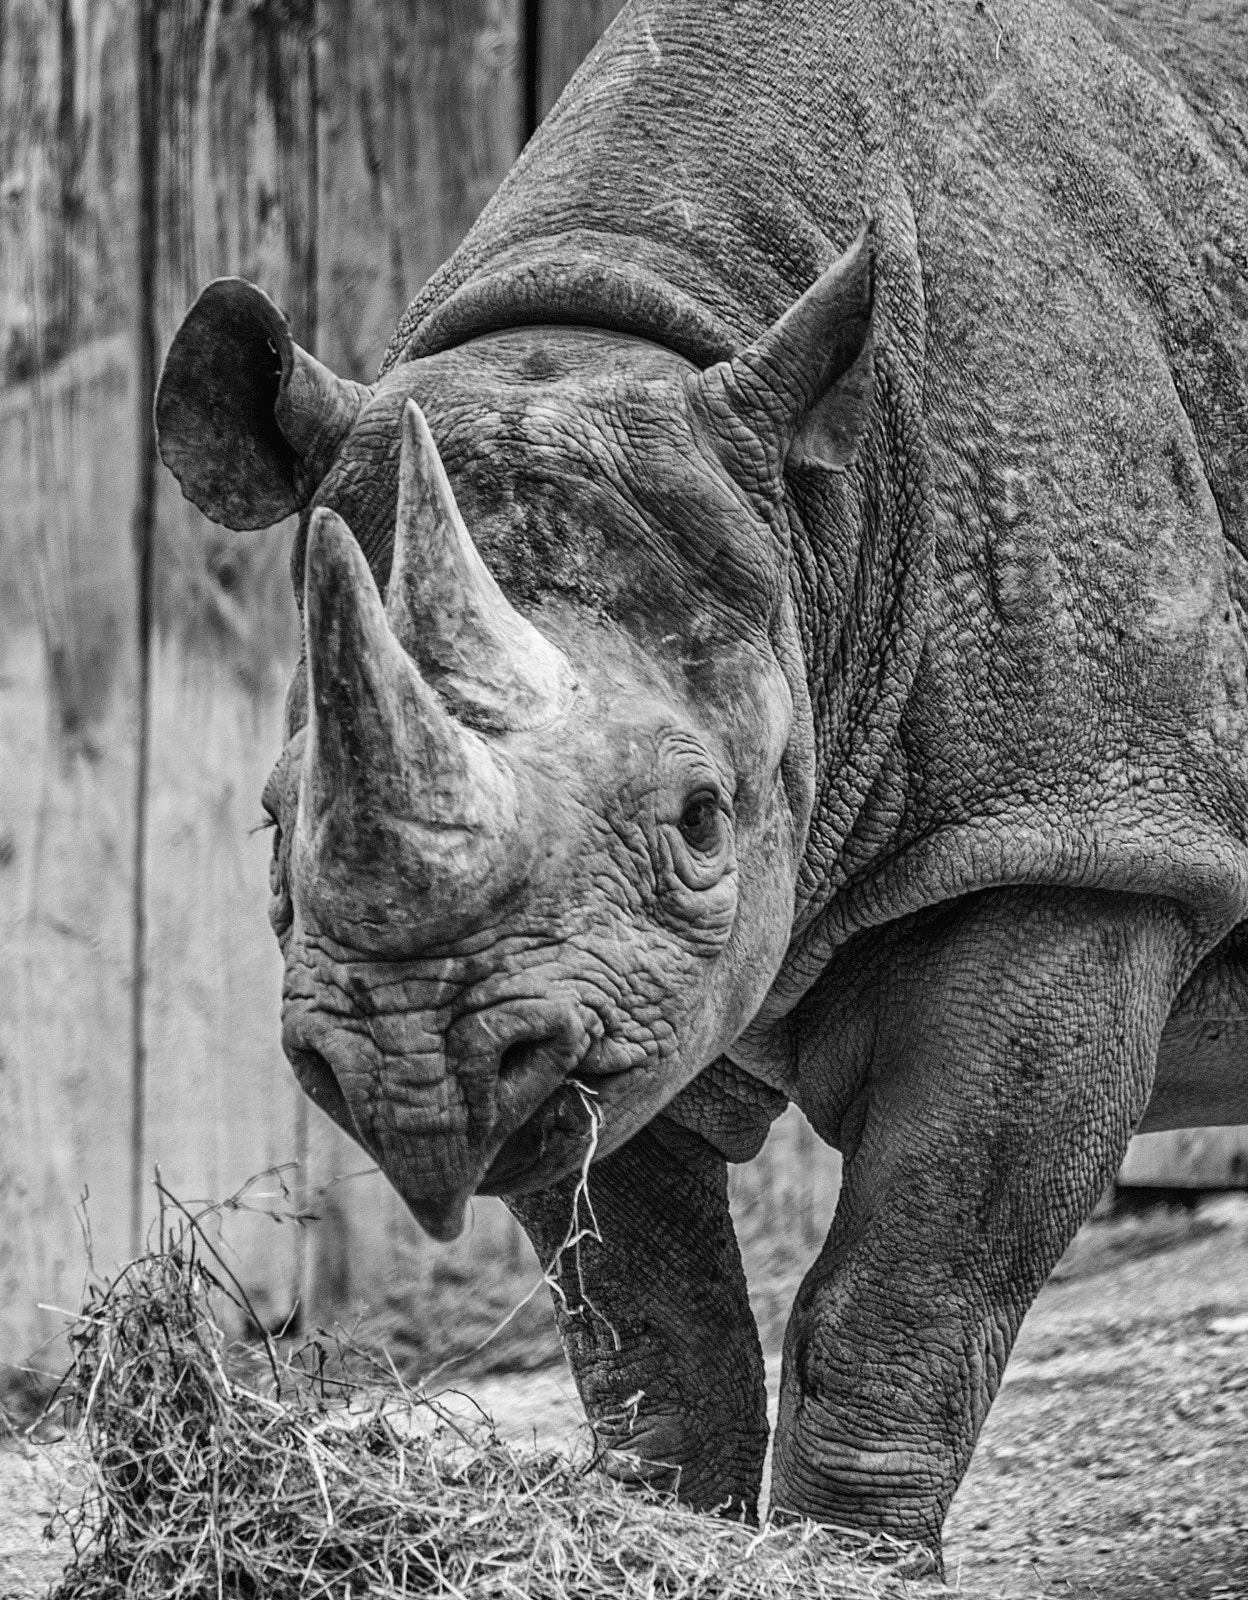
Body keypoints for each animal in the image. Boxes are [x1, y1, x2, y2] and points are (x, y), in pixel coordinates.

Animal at [154, 0, 1248, 1557]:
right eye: (268, 825)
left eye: (702, 819)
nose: (418, 1069)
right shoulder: (591, 991)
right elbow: (648, 1317)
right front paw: (678, 1520)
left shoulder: (1085, 833)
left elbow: (913, 1275)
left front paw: (852, 1557)